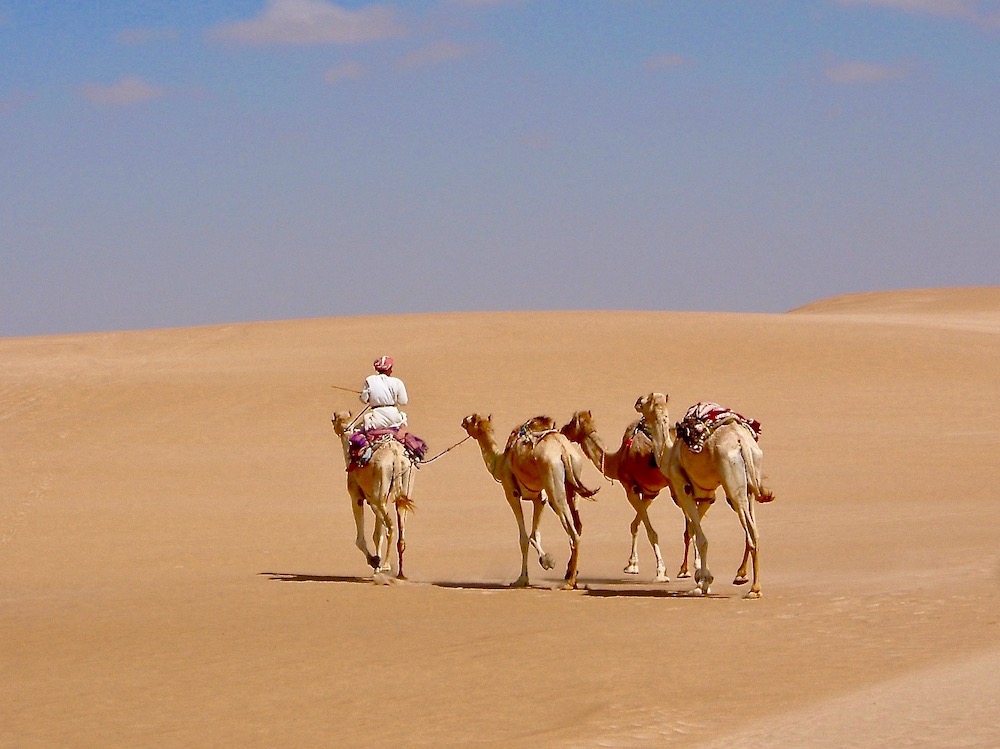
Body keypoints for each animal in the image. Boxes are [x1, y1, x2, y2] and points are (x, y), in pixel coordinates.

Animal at [332, 410, 414, 580]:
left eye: (333, 420)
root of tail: (396, 457)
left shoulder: (357, 497)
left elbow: (361, 539)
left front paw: (375, 562)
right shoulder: (373, 500)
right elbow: (377, 534)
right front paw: (376, 566)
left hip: (380, 495)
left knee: (391, 527)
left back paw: (386, 565)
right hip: (403, 488)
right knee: (401, 529)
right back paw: (400, 573)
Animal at [462, 412, 596, 588]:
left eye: (472, 419)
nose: (463, 421)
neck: (500, 461)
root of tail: (563, 450)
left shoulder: (511, 493)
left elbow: (524, 538)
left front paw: (523, 578)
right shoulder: (539, 499)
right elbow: (534, 534)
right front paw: (546, 561)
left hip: (554, 484)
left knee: (573, 532)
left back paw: (569, 582)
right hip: (573, 478)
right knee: (577, 524)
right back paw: (571, 577)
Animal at [632, 394, 772, 600]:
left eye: (646, 399)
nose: (637, 402)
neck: (667, 453)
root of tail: (742, 442)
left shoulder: (682, 489)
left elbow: (701, 537)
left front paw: (702, 583)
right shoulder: (706, 495)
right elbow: (692, 529)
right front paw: (700, 577)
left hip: (733, 484)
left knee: (750, 532)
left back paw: (754, 589)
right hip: (751, 481)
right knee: (753, 530)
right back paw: (743, 577)